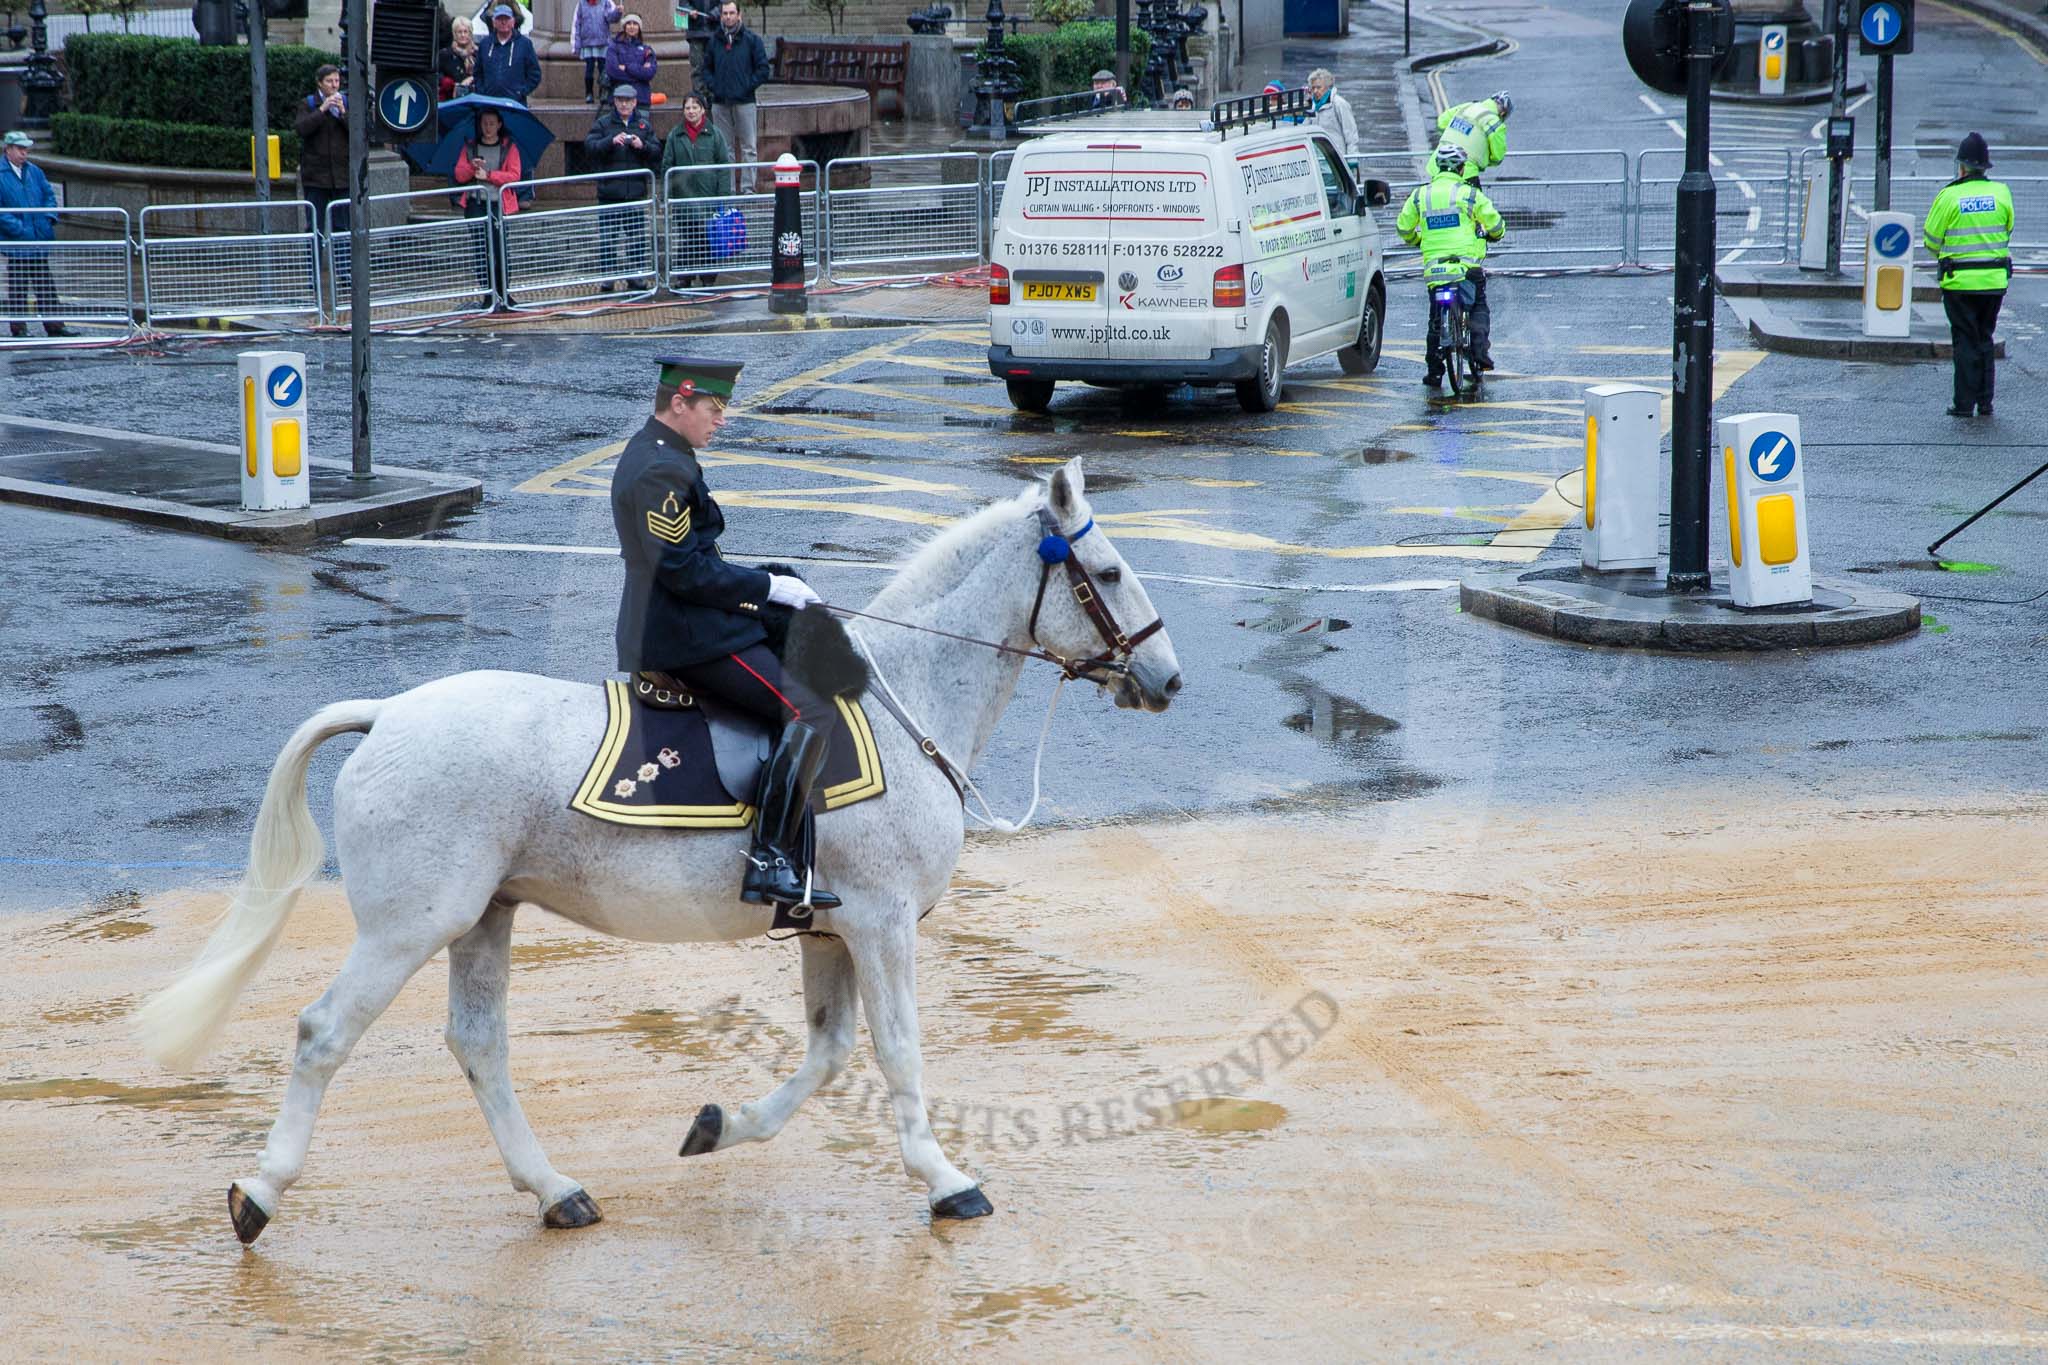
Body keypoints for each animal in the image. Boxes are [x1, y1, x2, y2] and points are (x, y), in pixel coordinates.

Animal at [136, 458, 1179, 1236]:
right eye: (1109, 574)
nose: (1168, 679)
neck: (907, 697)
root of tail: (386, 711)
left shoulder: (829, 927)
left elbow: (829, 1052)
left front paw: (719, 1126)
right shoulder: (883, 925)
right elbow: (896, 1050)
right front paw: (946, 1178)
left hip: (483, 916)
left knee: (478, 1045)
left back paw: (555, 1190)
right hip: (410, 925)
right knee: (324, 1034)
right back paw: (260, 1192)